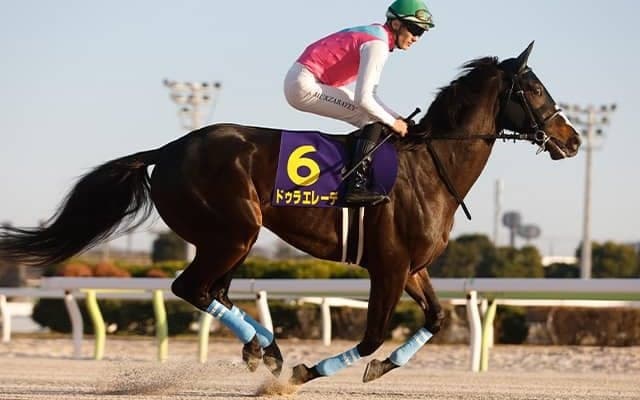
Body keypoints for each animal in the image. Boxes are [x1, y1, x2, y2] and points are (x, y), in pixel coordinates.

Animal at [0, 42, 580, 384]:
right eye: (533, 88)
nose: (573, 139)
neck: (430, 166)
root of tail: (166, 149)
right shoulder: (388, 266)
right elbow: (370, 336)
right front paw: (309, 370)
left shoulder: (414, 267)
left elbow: (436, 319)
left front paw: (381, 367)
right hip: (235, 231)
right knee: (193, 288)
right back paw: (269, 349)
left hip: (230, 237)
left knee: (213, 291)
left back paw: (265, 346)